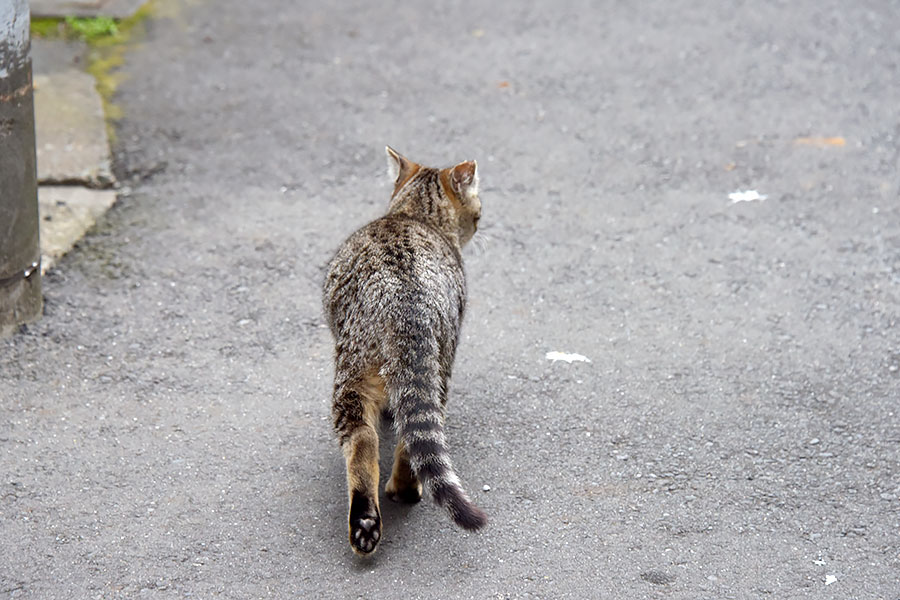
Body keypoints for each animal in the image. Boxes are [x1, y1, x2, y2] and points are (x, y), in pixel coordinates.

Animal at [322, 148, 486, 556]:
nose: (480, 222)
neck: (413, 215)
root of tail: (404, 295)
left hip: (353, 369)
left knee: (363, 439)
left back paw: (375, 512)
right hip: (437, 362)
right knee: (416, 432)